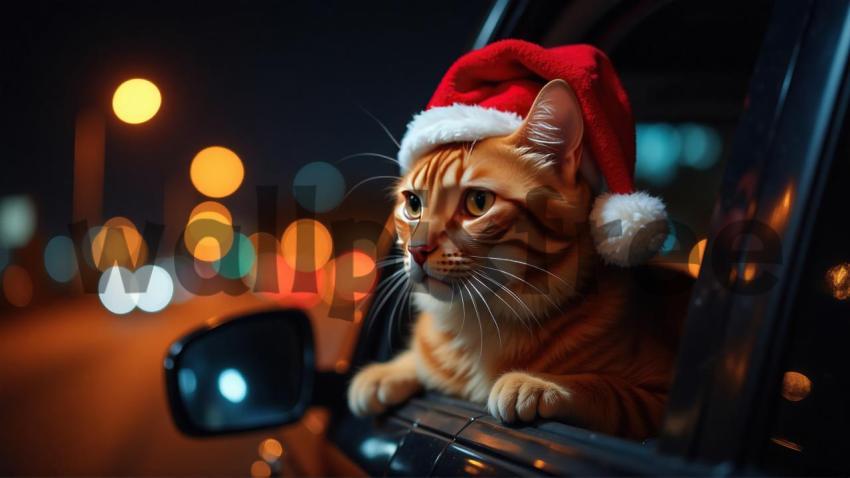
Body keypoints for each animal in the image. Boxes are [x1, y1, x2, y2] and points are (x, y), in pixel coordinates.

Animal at [344, 79, 684, 440]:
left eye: (478, 202)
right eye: (412, 204)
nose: (417, 250)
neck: (477, 322)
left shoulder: (657, 397)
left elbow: (602, 388)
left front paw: (536, 382)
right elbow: (424, 361)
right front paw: (389, 370)